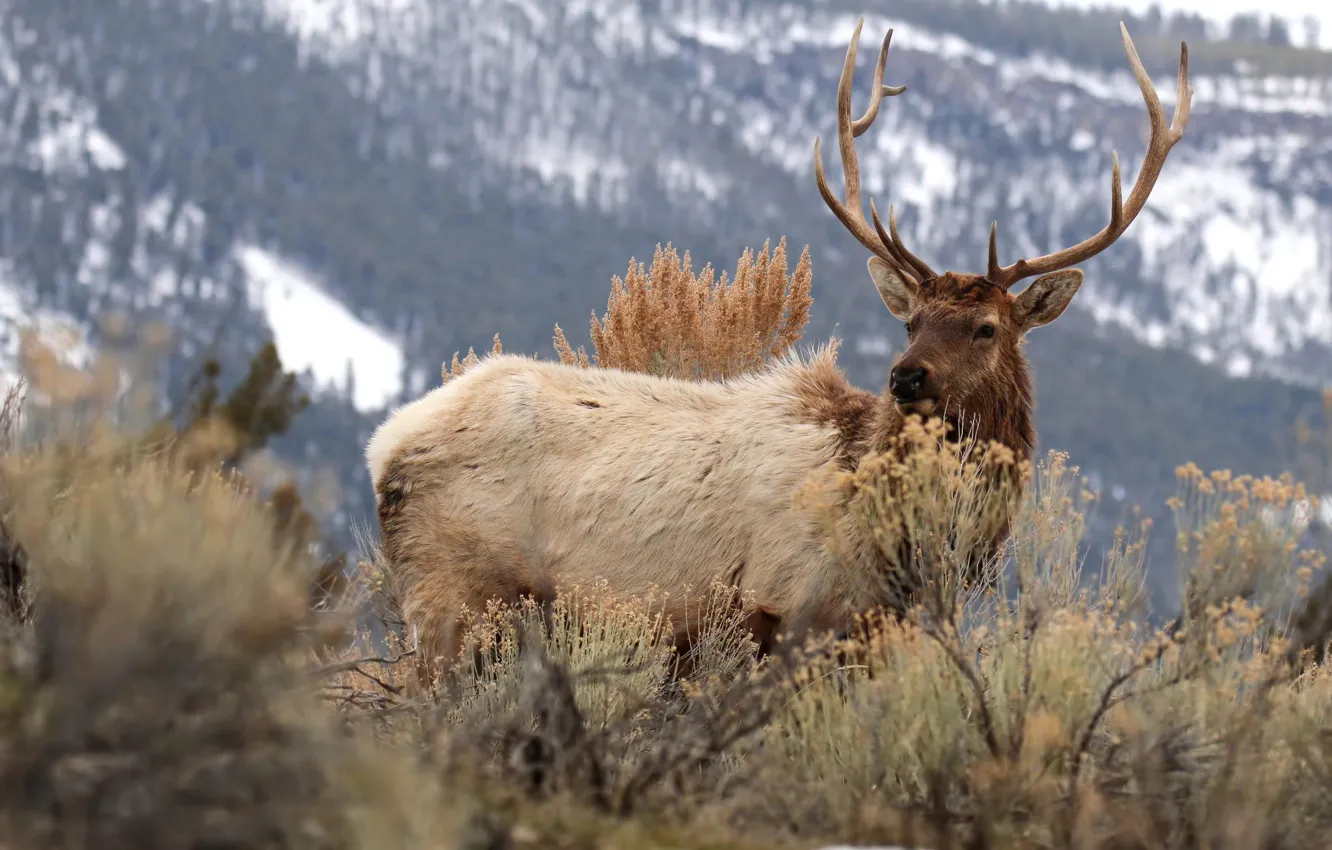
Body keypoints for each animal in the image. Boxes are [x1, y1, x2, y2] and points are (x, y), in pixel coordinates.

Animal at [364, 19, 1198, 687]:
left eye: (987, 328)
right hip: (457, 596)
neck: (896, 540)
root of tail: (384, 448)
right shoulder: (785, 607)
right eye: (912, 322)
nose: (906, 377)